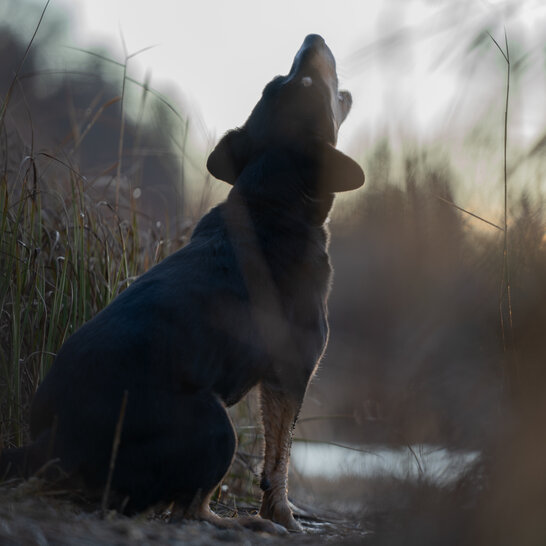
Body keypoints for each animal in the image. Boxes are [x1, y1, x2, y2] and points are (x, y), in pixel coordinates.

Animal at [1, 33, 366, 528]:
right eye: (306, 81)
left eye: (280, 80)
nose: (312, 38)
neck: (271, 200)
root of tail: (50, 444)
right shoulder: (292, 371)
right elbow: (280, 459)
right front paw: (285, 517)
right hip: (216, 424)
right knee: (189, 509)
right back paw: (239, 520)